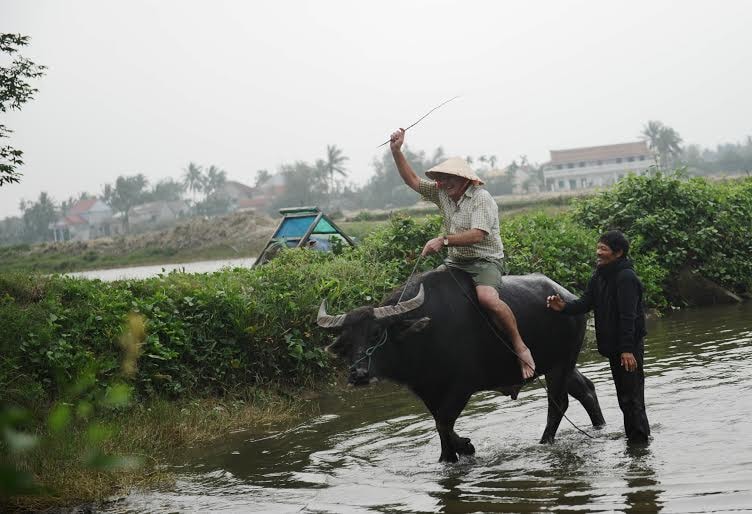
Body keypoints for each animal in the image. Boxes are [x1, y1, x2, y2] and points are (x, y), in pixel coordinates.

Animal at [316, 268, 604, 460]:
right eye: (346, 342)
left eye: (376, 334)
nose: (358, 374)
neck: (425, 336)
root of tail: (567, 296)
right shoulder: (427, 391)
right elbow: (441, 424)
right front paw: (456, 453)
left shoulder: (462, 386)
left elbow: (444, 422)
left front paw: (461, 450)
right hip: (563, 364)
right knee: (586, 389)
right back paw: (600, 427)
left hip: (559, 366)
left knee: (558, 404)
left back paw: (544, 442)